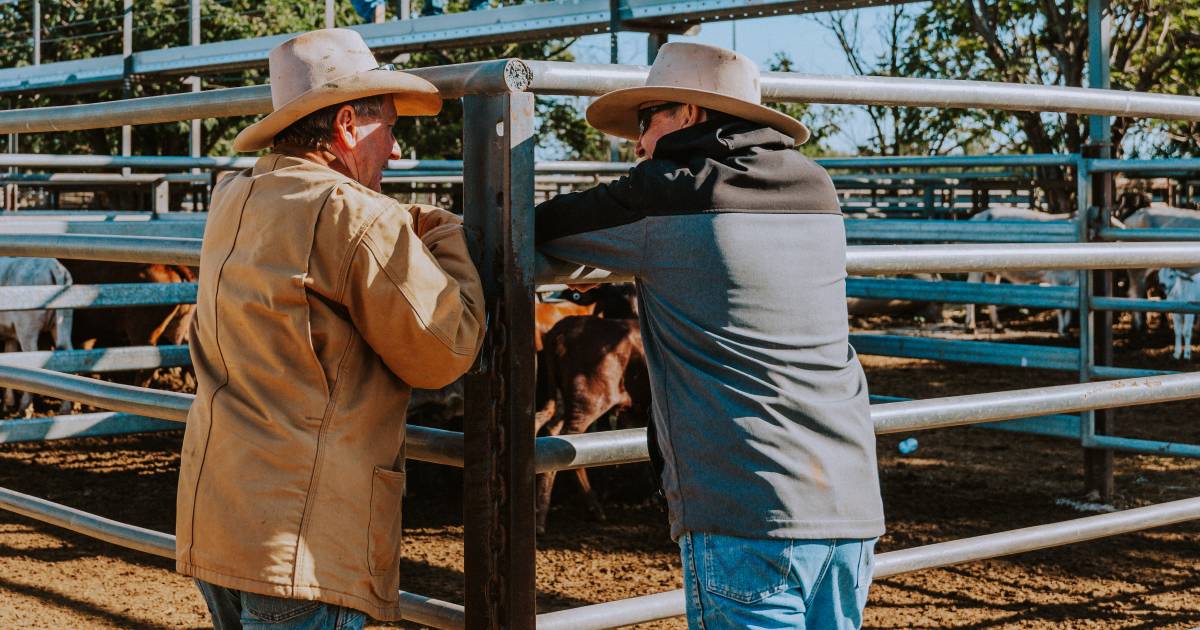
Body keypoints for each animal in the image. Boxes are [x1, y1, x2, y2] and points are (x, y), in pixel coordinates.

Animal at [0, 255, 73, 412]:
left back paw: (25, 408)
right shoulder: (10, 333)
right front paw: (8, 403)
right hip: (64, 320)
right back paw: (65, 409)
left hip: (27, 327)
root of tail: (53, 264)